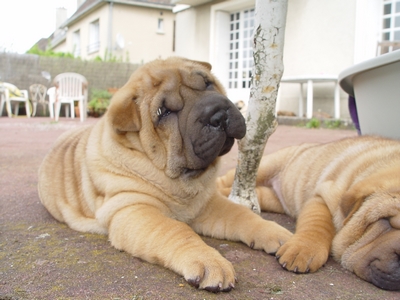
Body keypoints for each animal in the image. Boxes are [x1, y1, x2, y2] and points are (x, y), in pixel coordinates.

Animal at [38, 57, 294, 292]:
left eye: (207, 83)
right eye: (164, 112)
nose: (218, 115)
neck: (180, 180)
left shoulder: (206, 203)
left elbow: (241, 215)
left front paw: (280, 235)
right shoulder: (133, 209)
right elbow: (176, 230)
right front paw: (210, 262)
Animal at [219, 137, 400, 290]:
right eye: (386, 221)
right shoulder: (323, 196)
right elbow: (318, 225)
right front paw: (303, 250)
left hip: (274, 198)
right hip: (266, 165)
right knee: (226, 180)